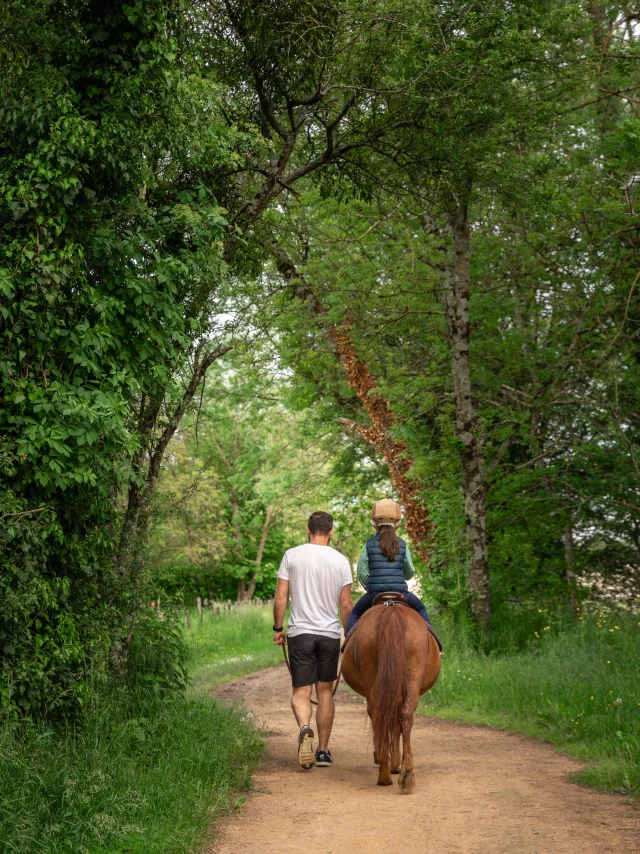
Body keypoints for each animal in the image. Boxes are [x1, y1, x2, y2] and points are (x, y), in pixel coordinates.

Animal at [341, 601, 441, 793]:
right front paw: (395, 763)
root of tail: (391, 610)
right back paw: (402, 774)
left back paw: (387, 772)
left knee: (384, 715)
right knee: (402, 716)